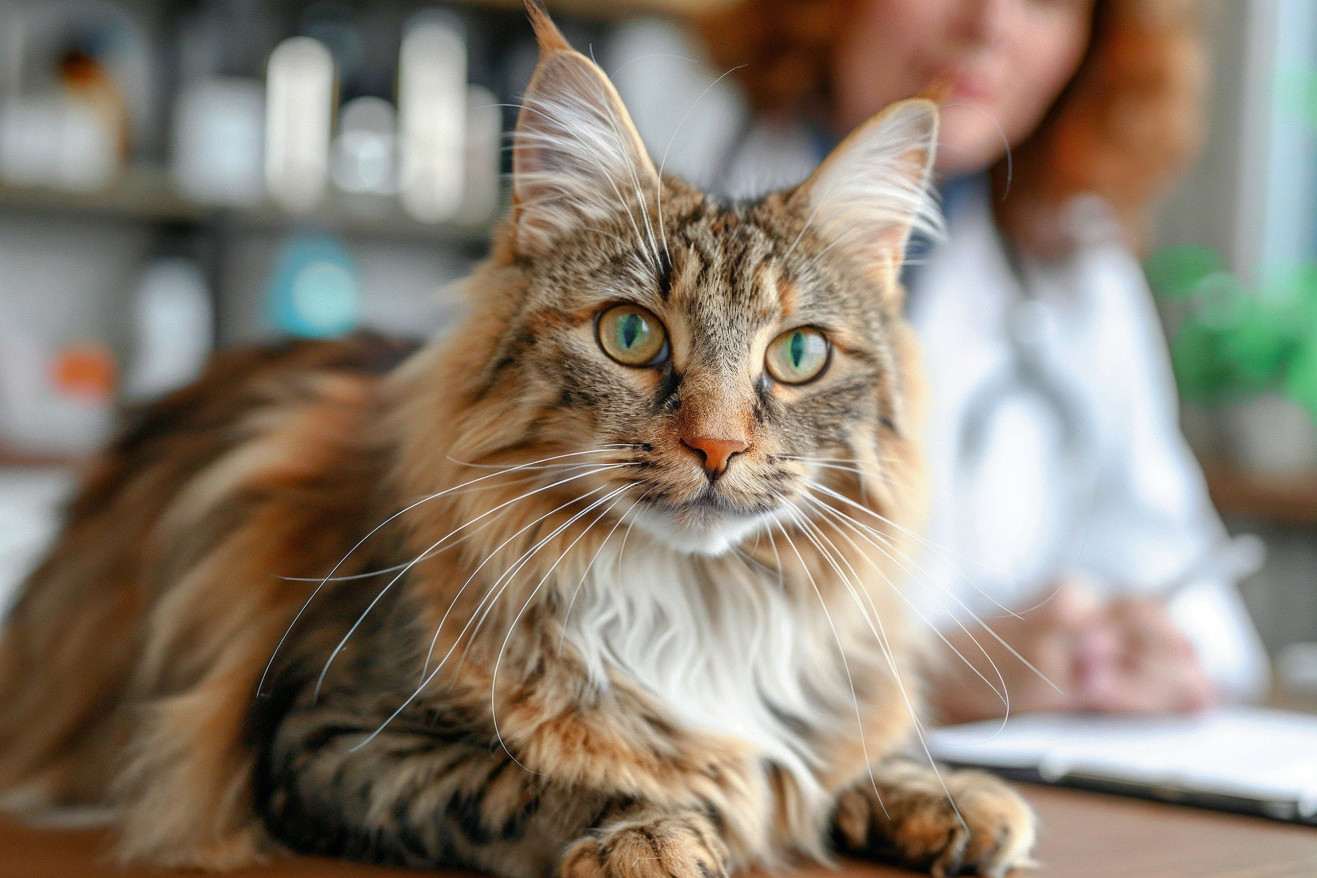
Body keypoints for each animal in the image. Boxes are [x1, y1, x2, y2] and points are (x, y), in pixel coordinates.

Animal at [0, 6, 1032, 878]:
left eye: (799, 354)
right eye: (631, 335)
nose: (717, 448)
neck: (694, 606)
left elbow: (827, 762)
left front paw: (949, 797)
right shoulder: (323, 739)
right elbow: (557, 777)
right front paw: (655, 833)